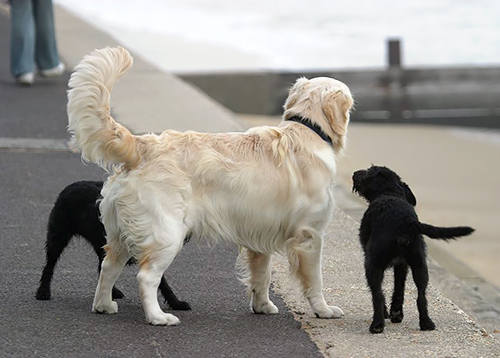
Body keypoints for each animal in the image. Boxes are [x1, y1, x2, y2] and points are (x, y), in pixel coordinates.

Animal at [35, 182, 191, 310]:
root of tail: (68, 187)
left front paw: (176, 303)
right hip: (58, 237)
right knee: (49, 265)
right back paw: (43, 291)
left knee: (101, 267)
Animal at [67, 46, 356, 324]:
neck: (308, 129)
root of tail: (142, 145)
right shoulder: (310, 236)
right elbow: (315, 281)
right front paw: (323, 309)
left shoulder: (259, 232)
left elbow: (261, 275)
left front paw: (262, 306)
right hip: (167, 233)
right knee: (146, 276)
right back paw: (158, 317)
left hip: (120, 234)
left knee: (107, 266)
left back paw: (104, 305)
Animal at [352, 166, 472, 334]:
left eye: (369, 170)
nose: (355, 173)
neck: (390, 192)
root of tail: (405, 223)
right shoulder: (402, 265)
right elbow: (399, 288)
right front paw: (396, 313)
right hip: (420, 265)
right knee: (421, 296)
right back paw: (426, 323)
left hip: (372, 264)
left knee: (378, 294)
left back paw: (377, 324)